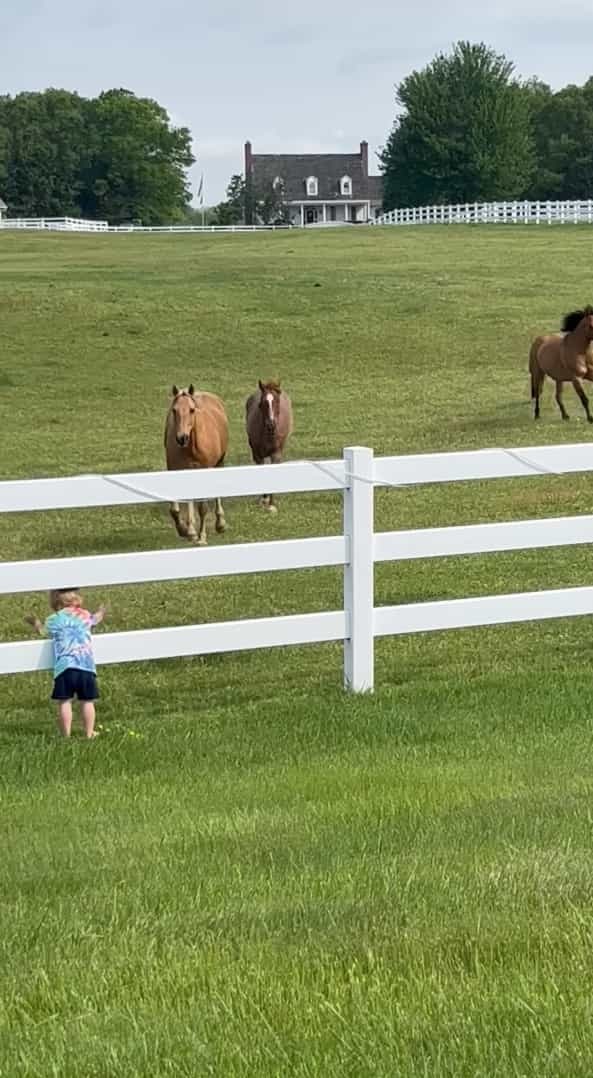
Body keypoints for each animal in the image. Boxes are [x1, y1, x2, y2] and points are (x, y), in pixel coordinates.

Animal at [164, 383, 229, 543]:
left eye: (192, 410)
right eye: (174, 410)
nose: (182, 438)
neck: (192, 448)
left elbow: (203, 507)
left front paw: (202, 538)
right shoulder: (177, 470)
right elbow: (175, 509)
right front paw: (185, 530)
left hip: (219, 462)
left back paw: (220, 524)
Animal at [244, 379, 293, 513]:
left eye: (277, 401)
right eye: (262, 404)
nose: (271, 424)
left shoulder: (276, 454)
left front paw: (271, 504)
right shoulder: (257, 454)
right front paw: (264, 499)